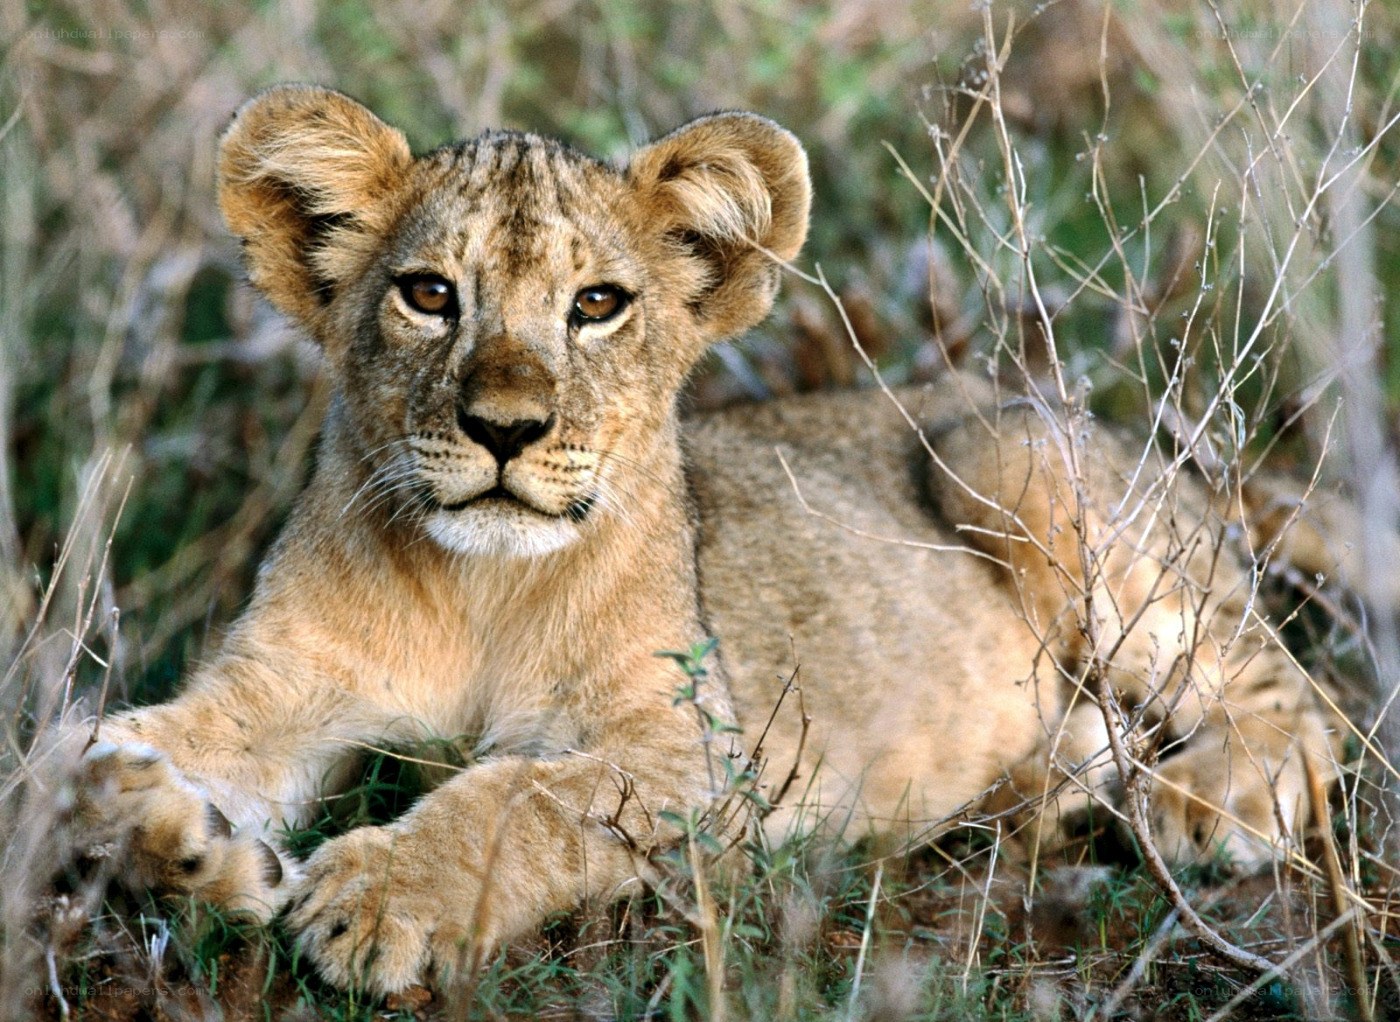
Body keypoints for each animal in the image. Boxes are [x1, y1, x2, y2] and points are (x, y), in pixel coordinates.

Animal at [51, 84, 1339, 996]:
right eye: (427, 294)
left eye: (596, 305)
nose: (504, 428)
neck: (479, 590)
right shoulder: (277, 681)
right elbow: (72, 753)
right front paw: (195, 845)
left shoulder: (705, 752)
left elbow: (522, 793)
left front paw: (376, 895)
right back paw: (1042, 792)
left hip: (1010, 459)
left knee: (1289, 691)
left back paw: (1207, 800)